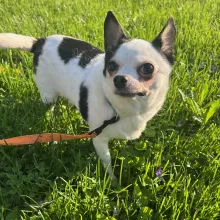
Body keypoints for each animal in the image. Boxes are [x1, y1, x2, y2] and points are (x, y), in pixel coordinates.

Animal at [0, 11, 175, 178]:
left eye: (148, 68)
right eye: (111, 66)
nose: (119, 79)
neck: (122, 110)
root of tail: (40, 42)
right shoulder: (99, 140)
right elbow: (108, 164)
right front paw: (113, 182)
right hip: (48, 94)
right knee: (50, 108)